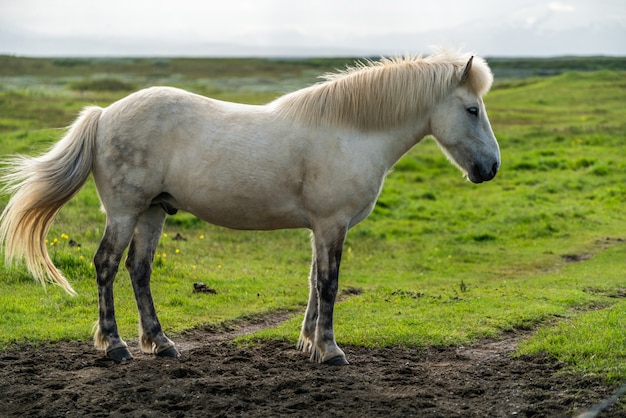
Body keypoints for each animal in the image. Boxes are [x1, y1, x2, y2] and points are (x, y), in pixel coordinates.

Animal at [0, 49, 498, 364]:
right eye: (472, 110)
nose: (490, 167)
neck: (349, 131)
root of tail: (104, 114)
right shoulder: (332, 225)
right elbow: (330, 284)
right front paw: (331, 351)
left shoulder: (320, 228)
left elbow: (314, 282)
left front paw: (308, 344)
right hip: (125, 211)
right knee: (105, 265)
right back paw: (115, 345)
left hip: (153, 212)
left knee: (138, 270)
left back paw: (160, 343)